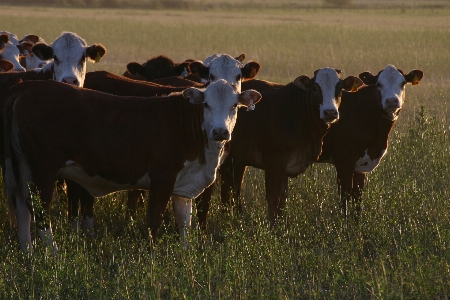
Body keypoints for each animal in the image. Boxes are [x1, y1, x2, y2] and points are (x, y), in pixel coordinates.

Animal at [4, 78, 260, 251]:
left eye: (234, 106)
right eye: (206, 104)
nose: (220, 132)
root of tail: (29, 86)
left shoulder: (183, 186)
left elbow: (185, 224)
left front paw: (185, 254)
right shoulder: (162, 179)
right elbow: (154, 221)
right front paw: (153, 256)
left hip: (23, 168)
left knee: (22, 206)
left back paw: (27, 251)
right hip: (44, 170)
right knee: (40, 210)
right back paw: (53, 253)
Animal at [195, 68, 364, 229]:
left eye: (340, 88)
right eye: (316, 88)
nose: (330, 112)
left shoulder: (284, 169)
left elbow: (283, 201)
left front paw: (284, 229)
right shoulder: (274, 164)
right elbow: (273, 198)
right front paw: (273, 230)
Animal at [314, 65, 424, 219]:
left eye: (402, 83)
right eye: (378, 84)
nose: (392, 101)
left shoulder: (361, 165)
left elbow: (357, 198)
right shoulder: (344, 161)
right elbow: (345, 198)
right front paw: (343, 224)